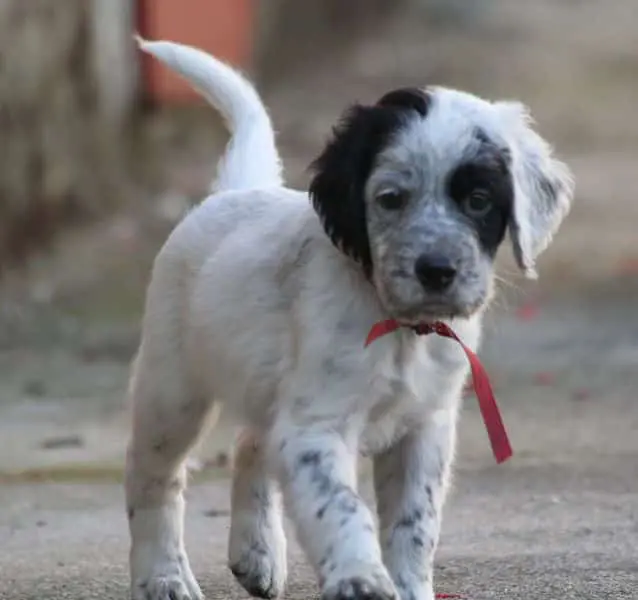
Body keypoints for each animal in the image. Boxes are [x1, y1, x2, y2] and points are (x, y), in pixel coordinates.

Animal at [126, 37, 574, 600]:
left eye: (478, 200)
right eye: (391, 199)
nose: (437, 270)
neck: (400, 327)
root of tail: (231, 193)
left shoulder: (423, 427)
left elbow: (415, 523)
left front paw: (408, 586)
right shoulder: (317, 425)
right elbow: (340, 507)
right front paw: (360, 578)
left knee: (251, 443)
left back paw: (257, 553)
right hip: (173, 390)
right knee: (154, 479)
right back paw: (162, 575)